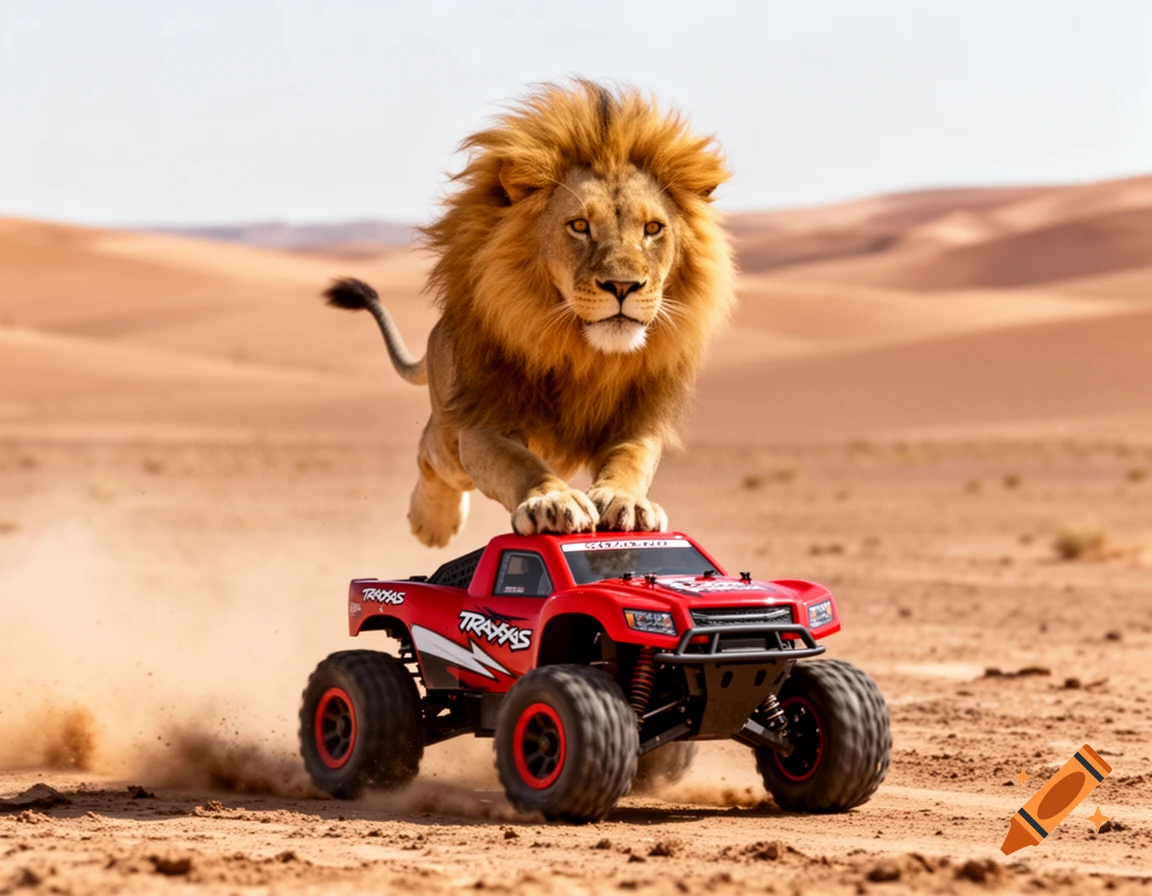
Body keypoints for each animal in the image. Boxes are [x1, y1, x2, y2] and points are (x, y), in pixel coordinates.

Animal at [324, 80, 736, 547]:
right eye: (579, 226)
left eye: (652, 229)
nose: (623, 286)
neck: (583, 353)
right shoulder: (485, 421)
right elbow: (518, 463)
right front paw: (551, 501)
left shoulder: (636, 421)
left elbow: (630, 460)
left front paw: (625, 501)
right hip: (451, 439)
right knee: (430, 451)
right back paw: (432, 522)